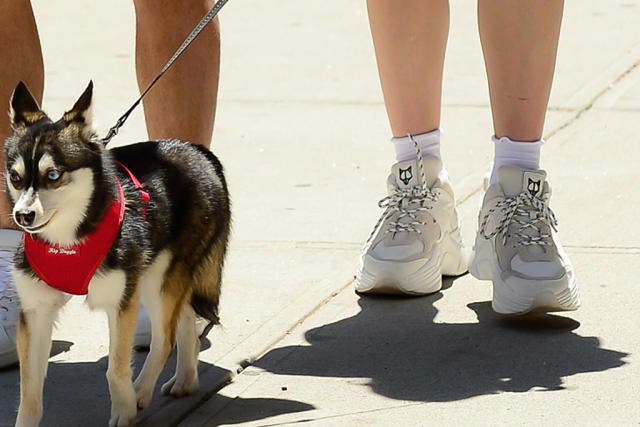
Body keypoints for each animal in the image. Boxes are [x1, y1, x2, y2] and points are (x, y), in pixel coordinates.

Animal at [5, 81, 230, 427]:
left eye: (53, 175)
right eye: (15, 177)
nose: (23, 216)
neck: (70, 239)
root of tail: (199, 152)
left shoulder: (121, 302)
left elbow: (115, 368)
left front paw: (124, 409)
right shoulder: (36, 311)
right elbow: (28, 389)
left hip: (159, 278)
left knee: (166, 339)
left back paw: (140, 392)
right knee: (184, 324)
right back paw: (185, 378)